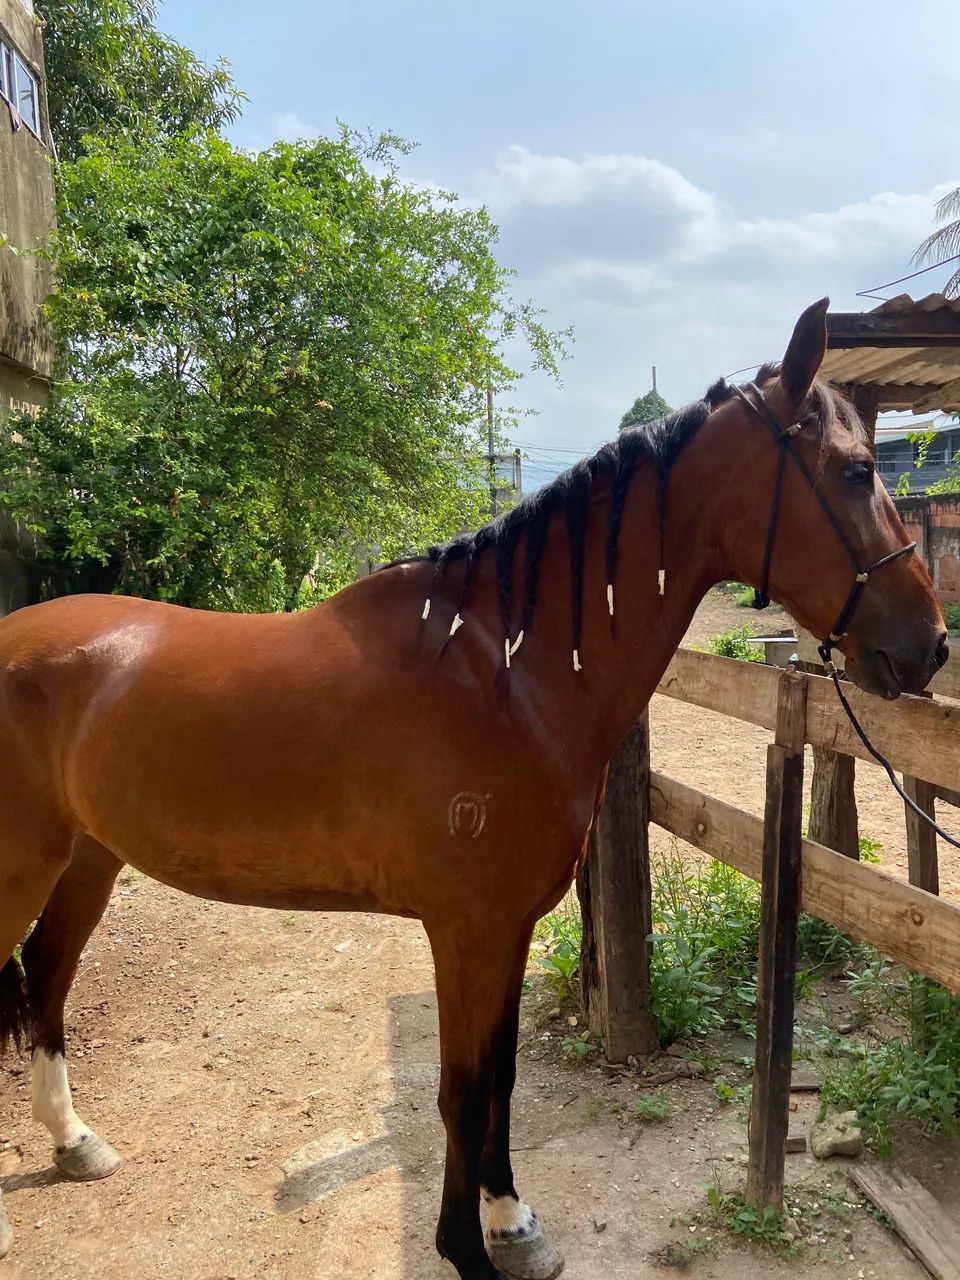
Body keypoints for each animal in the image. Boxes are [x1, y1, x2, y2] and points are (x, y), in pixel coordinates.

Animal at [0, 299, 947, 1278]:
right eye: (856, 472)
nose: (931, 644)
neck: (504, 674)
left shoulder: (509, 924)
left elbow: (500, 1078)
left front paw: (512, 1222)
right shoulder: (465, 931)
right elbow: (461, 1091)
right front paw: (465, 1246)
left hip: (88, 860)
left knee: (48, 980)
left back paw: (74, 1142)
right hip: (22, 869)